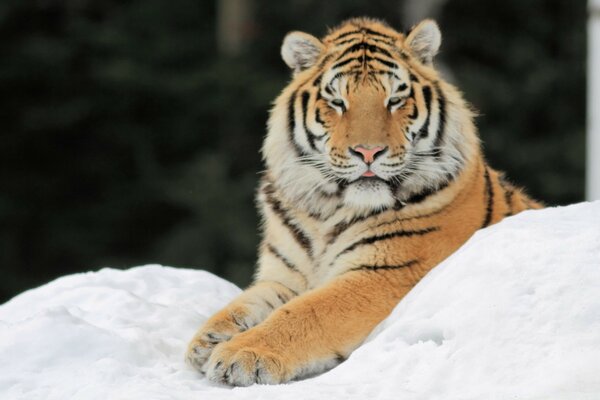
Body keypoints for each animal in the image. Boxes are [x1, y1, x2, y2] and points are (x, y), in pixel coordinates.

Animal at [185, 17, 540, 386]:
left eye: (395, 99)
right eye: (338, 102)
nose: (368, 152)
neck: (324, 210)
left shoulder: (383, 274)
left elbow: (306, 311)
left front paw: (241, 355)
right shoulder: (286, 275)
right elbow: (250, 300)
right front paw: (208, 338)